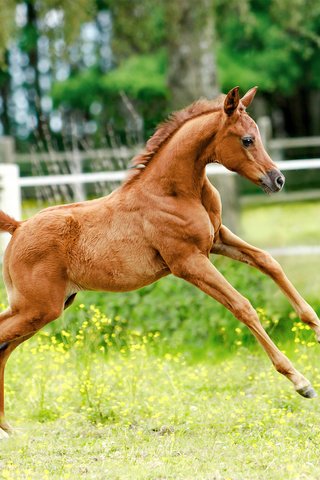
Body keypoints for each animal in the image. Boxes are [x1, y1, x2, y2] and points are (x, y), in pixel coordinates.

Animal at [0, 86, 320, 438]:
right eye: (247, 139)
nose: (278, 180)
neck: (172, 193)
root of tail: (18, 226)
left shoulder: (218, 239)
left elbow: (268, 261)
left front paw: (316, 328)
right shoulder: (188, 262)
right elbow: (243, 306)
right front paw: (301, 383)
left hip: (41, 308)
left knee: (4, 349)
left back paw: (8, 426)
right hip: (38, 308)